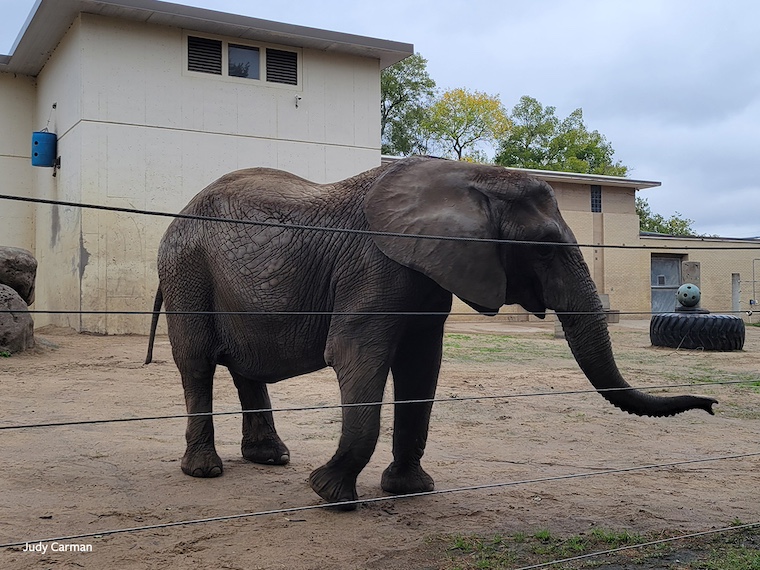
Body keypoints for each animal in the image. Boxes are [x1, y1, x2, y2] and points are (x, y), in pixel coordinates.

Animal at [145, 156, 716, 510]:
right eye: (544, 247)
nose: (711, 405)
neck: (471, 178)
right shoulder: (374, 265)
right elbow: (356, 353)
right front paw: (330, 496)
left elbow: (422, 365)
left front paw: (410, 491)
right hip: (186, 269)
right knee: (196, 363)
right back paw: (205, 472)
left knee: (247, 366)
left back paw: (271, 460)